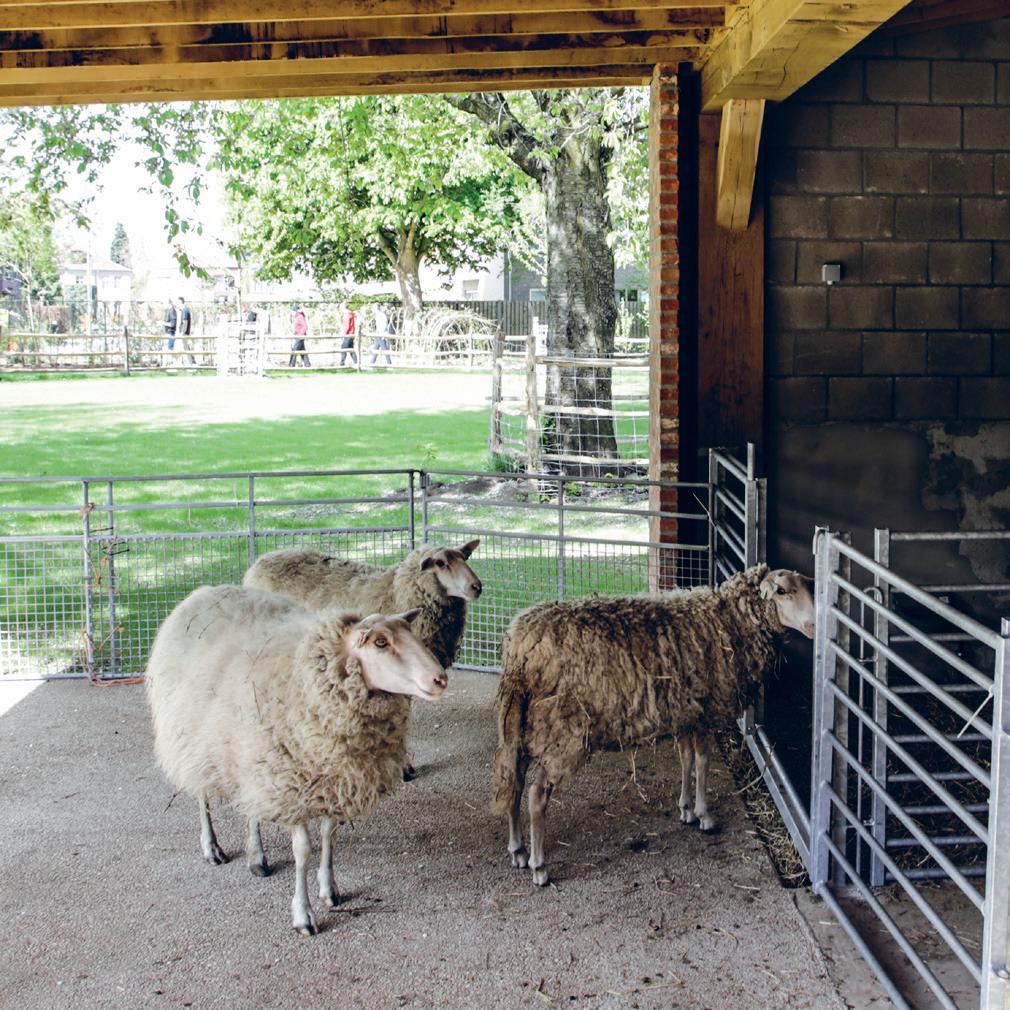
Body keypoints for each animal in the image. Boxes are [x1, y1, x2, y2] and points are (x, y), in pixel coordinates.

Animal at [145, 585, 447, 935]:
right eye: (381, 643)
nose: (440, 679)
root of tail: (204, 591)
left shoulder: (333, 781)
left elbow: (329, 836)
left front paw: (329, 889)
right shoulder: (295, 785)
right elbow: (303, 851)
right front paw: (303, 914)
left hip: (249, 754)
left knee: (251, 805)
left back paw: (257, 858)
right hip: (192, 737)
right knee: (201, 795)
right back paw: (212, 847)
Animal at [243, 540, 482, 778]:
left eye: (465, 557)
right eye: (441, 563)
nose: (477, 587)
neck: (396, 591)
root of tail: (259, 561)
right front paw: (404, 766)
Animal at [493, 564, 815, 886]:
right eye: (781, 591)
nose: (814, 625)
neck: (728, 622)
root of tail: (519, 648)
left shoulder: (685, 712)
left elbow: (686, 759)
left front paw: (686, 810)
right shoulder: (706, 710)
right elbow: (702, 762)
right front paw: (705, 816)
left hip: (520, 726)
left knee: (514, 782)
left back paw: (517, 850)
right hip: (561, 730)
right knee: (536, 795)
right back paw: (539, 866)